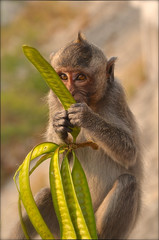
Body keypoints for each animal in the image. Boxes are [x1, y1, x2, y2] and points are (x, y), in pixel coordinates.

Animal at [9, 32, 143, 240]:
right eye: (63, 76)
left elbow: (129, 153)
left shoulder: (116, 96)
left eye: (80, 77)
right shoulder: (54, 100)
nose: (70, 92)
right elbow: (61, 153)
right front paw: (59, 126)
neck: (93, 102)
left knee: (127, 182)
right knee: (44, 195)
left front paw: (86, 117)